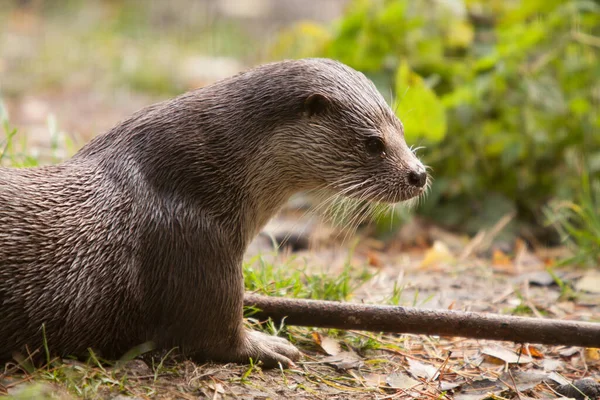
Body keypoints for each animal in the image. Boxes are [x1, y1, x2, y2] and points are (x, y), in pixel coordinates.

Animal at [0, 57, 426, 368]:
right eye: (373, 143)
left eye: (403, 129)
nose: (418, 174)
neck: (197, 180)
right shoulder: (199, 246)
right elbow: (217, 336)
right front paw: (268, 346)